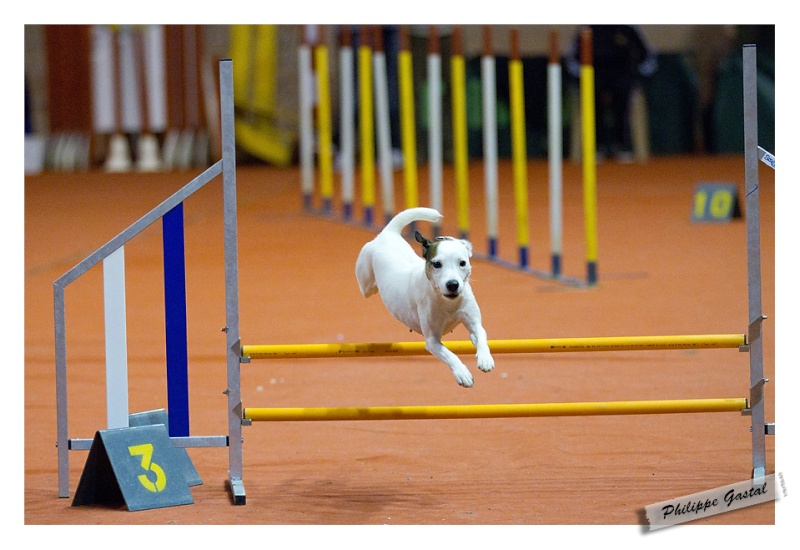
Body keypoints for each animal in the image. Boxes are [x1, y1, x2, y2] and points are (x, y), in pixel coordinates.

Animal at [356, 207, 494, 388]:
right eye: (437, 264)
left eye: (462, 263)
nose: (453, 284)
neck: (447, 302)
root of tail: (388, 233)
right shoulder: (432, 341)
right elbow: (450, 355)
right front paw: (462, 373)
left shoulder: (473, 322)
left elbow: (481, 334)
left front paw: (485, 358)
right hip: (365, 283)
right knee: (367, 287)